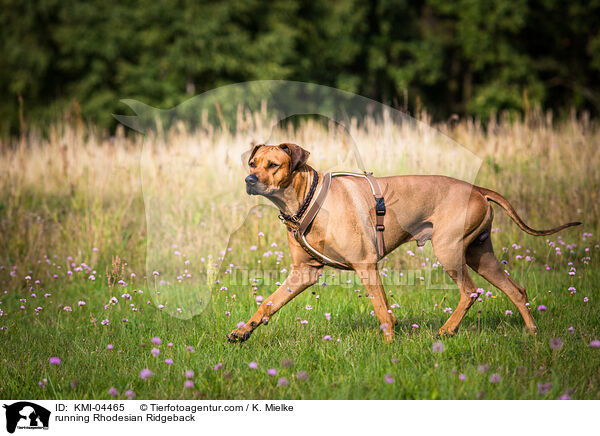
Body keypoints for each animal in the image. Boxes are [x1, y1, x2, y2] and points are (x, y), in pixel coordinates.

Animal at [226, 143, 580, 344]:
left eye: (273, 165)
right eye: (252, 163)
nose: (249, 180)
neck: (307, 199)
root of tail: (478, 189)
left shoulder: (366, 264)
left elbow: (382, 311)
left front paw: (388, 348)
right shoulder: (304, 272)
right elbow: (269, 303)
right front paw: (244, 330)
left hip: (449, 251)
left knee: (470, 292)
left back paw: (447, 330)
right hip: (481, 254)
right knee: (515, 290)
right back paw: (532, 334)